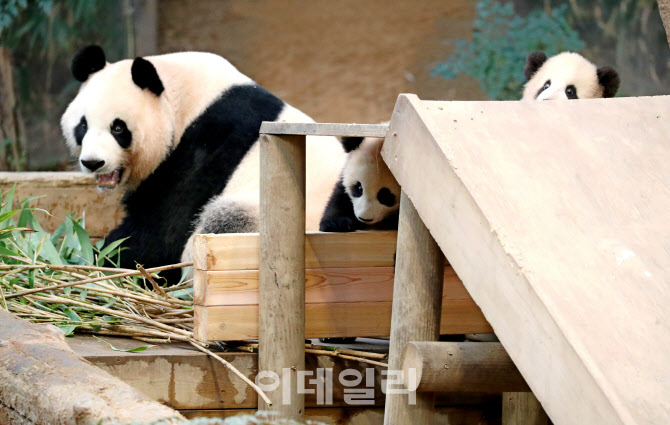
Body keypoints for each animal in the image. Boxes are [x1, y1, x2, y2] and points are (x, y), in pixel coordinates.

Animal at [61, 46, 346, 280]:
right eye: (82, 125)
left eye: (118, 128)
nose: (93, 162)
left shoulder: (207, 146)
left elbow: (162, 232)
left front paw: (99, 256)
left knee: (224, 221)